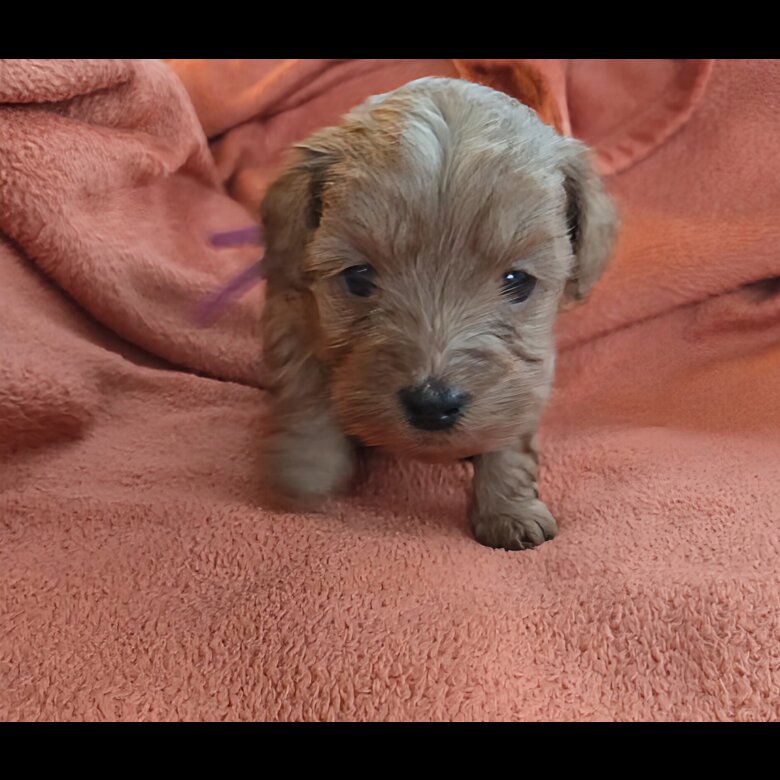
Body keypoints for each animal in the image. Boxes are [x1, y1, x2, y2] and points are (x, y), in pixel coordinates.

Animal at [259, 77, 617, 550]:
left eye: (518, 281)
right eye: (358, 277)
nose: (433, 404)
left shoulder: (529, 375)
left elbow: (512, 434)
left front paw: (509, 510)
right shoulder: (292, 317)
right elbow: (306, 392)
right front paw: (305, 468)